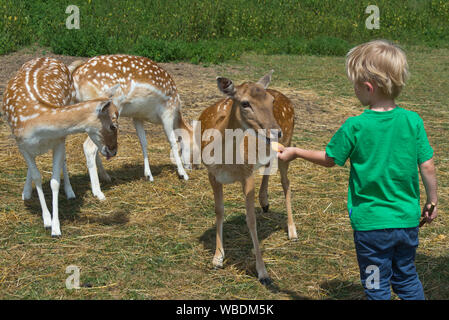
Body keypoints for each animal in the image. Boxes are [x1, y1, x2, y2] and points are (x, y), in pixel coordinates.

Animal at [2, 57, 117, 236]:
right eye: (113, 125)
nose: (114, 150)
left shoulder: (58, 140)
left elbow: (54, 181)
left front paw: (55, 227)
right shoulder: (21, 145)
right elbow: (37, 176)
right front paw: (46, 221)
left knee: (63, 160)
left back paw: (70, 192)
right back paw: (26, 193)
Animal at [69, 55, 192, 200]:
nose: (191, 166)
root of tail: (76, 75)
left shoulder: (137, 116)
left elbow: (143, 142)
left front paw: (148, 175)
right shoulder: (167, 112)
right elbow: (173, 141)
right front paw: (183, 174)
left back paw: (106, 177)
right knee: (88, 147)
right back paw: (98, 193)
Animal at [199, 71, 298, 284]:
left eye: (270, 101)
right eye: (245, 103)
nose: (276, 131)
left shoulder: (247, 173)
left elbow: (250, 219)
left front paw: (263, 272)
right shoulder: (212, 174)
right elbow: (219, 210)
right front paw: (217, 258)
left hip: (287, 143)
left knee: (286, 182)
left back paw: (292, 231)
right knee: (269, 165)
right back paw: (265, 202)